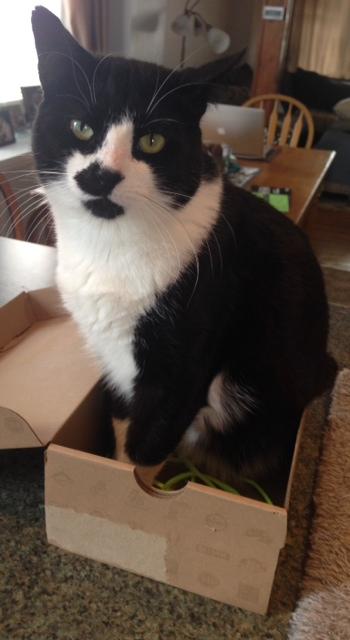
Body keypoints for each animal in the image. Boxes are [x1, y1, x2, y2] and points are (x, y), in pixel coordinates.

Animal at [32, 8, 336, 480]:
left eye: (152, 140)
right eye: (80, 127)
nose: (102, 176)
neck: (109, 246)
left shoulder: (184, 364)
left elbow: (145, 447)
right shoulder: (111, 362)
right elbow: (122, 428)